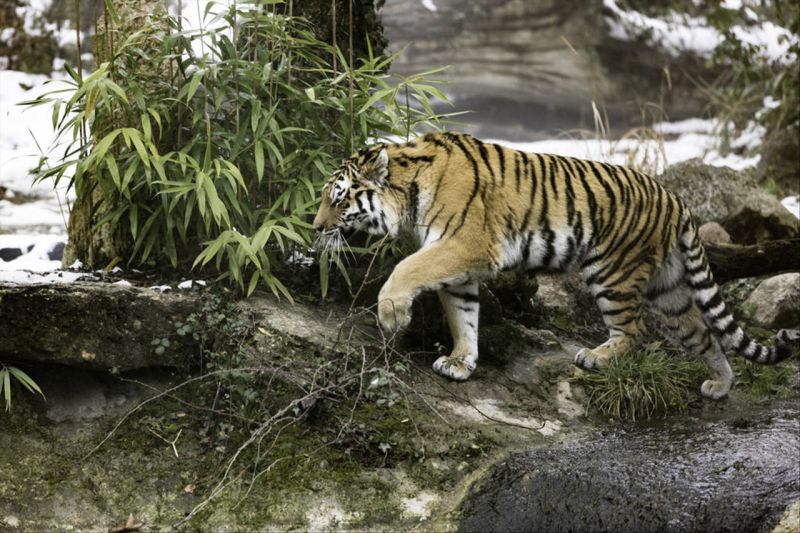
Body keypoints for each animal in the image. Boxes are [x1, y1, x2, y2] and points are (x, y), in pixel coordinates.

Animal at [310, 131, 792, 396]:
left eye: (337, 198)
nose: (314, 227)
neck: (410, 192)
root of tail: (676, 199)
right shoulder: (459, 260)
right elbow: (462, 315)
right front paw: (461, 362)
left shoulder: (465, 243)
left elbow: (406, 269)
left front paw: (392, 313)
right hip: (668, 288)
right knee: (703, 333)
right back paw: (720, 385)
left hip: (612, 271)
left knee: (635, 331)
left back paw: (596, 357)